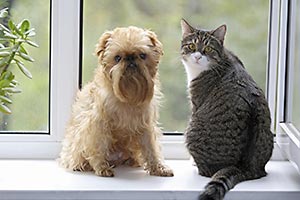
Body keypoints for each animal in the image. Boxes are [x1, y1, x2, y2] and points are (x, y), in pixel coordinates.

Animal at [58, 25, 173, 177]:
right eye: (117, 58)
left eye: (142, 55)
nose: (130, 58)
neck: (128, 97)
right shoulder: (98, 124)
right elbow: (98, 146)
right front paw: (101, 167)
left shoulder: (145, 126)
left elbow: (151, 148)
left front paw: (159, 167)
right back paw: (81, 165)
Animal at [180, 18, 274, 200]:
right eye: (192, 46)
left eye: (208, 48)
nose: (197, 56)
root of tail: (244, 167)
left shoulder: (196, 103)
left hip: (192, 128)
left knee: (206, 171)